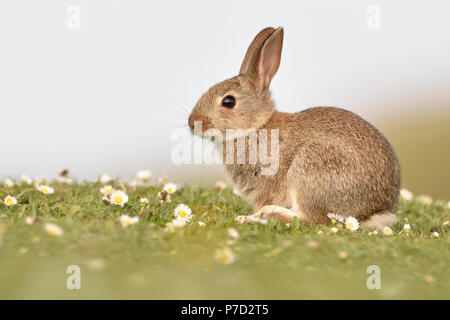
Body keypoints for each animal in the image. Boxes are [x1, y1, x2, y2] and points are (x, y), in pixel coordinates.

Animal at [188, 26, 400, 229]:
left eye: (228, 101)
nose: (192, 122)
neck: (255, 127)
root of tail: (372, 212)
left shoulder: (265, 185)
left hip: (310, 169)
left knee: (315, 219)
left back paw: (265, 214)